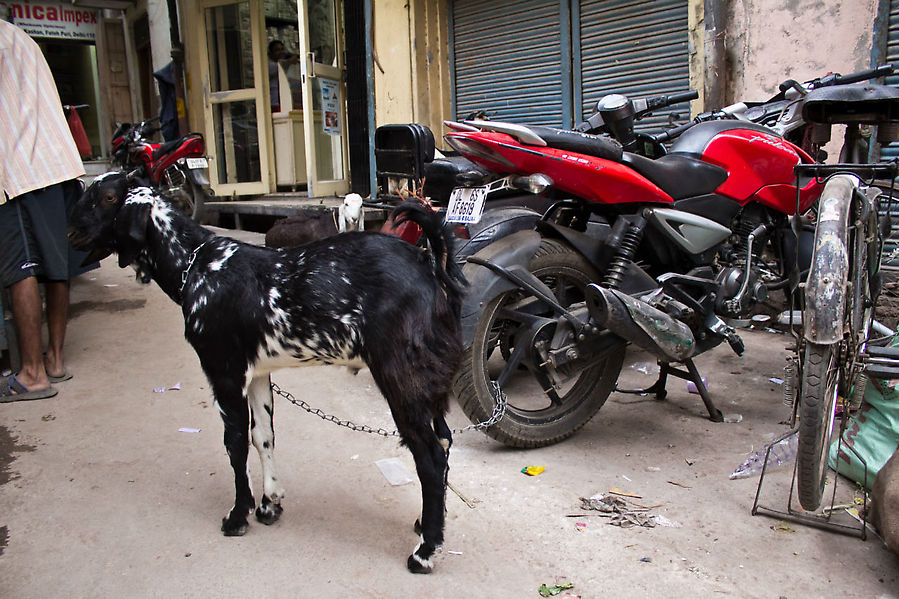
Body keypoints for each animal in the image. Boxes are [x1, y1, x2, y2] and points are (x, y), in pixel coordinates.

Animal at [67, 171, 468, 576]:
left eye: (107, 197)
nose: (70, 231)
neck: (196, 266)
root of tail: (428, 264)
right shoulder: (257, 372)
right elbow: (263, 436)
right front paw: (269, 503)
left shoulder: (223, 369)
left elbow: (235, 442)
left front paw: (237, 515)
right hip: (427, 379)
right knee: (445, 440)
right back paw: (425, 524)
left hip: (402, 375)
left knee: (430, 457)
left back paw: (424, 552)